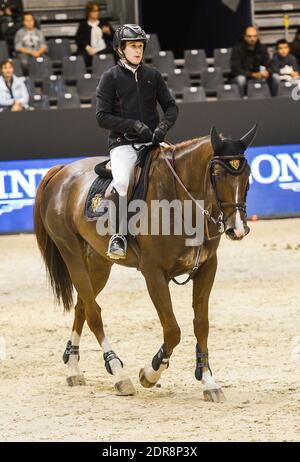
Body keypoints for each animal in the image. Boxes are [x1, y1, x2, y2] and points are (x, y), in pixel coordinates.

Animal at [34, 124, 256, 402]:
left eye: (247, 174)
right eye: (216, 173)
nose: (237, 229)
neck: (180, 201)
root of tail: (62, 171)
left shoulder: (207, 268)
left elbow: (201, 325)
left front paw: (208, 381)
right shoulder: (153, 274)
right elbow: (172, 330)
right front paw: (150, 373)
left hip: (99, 263)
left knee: (82, 307)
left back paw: (74, 368)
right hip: (71, 254)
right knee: (94, 313)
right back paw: (119, 374)